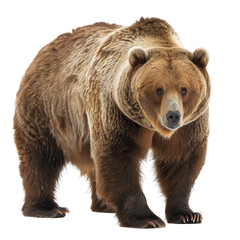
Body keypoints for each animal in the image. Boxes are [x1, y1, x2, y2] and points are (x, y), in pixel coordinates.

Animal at [13, 17, 210, 228]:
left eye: (184, 89)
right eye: (159, 89)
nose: (173, 115)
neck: (149, 124)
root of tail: (44, 50)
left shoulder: (190, 122)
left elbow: (180, 159)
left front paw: (187, 214)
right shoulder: (115, 110)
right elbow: (118, 156)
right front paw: (147, 218)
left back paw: (104, 205)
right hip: (46, 107)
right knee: (40, 157)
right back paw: (47, 208)